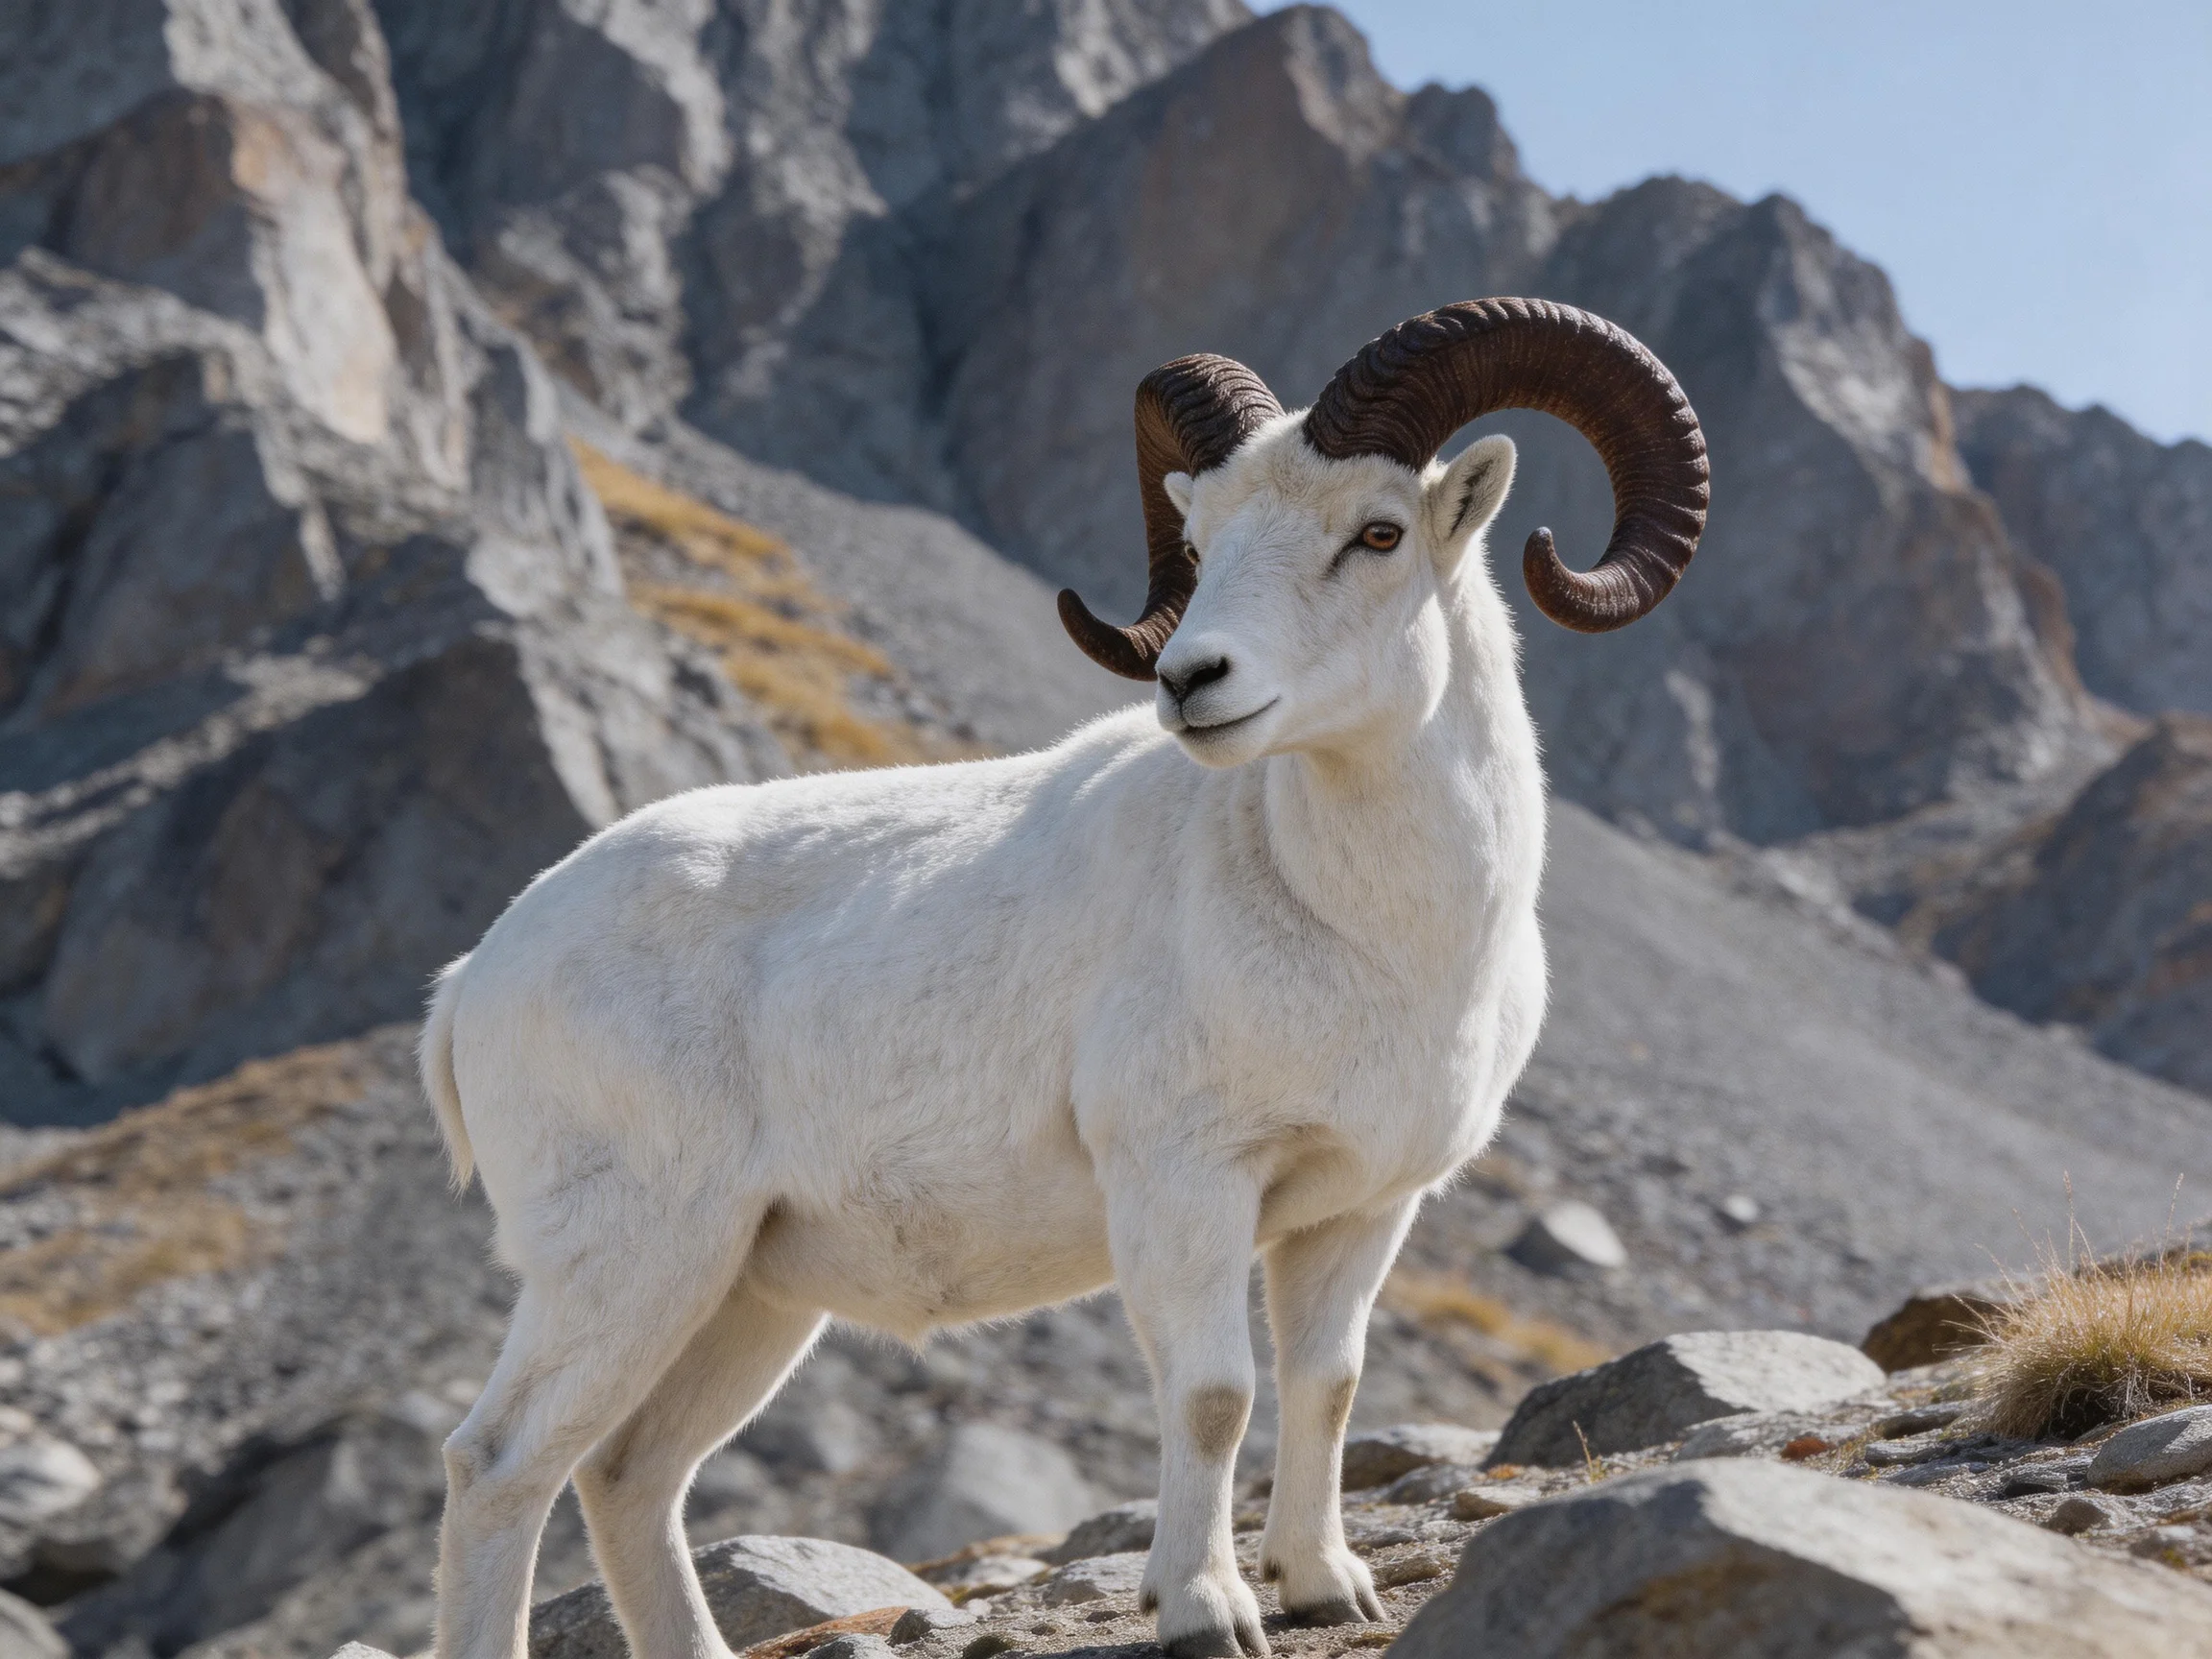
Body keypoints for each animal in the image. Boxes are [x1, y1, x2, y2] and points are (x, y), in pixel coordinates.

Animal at [421, 299, 1708, 1659]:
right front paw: (1206, 1612)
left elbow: (1325, 1383)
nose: (1192, 683)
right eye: (1199, 540)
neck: (1370, 939)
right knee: (499, 1465)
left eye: (1378, 532)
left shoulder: (1357, 1214)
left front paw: (1323, 1587)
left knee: (631, 1476)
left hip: (741, 1296)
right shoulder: (1184, 1187)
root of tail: (475, 980)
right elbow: (1213, 1397)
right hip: (626, 1265)